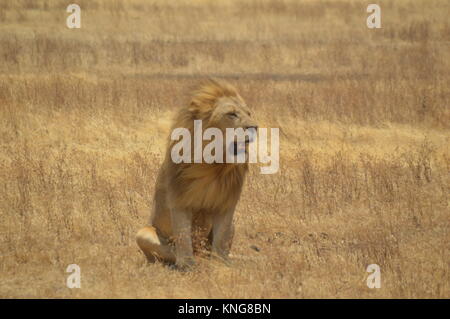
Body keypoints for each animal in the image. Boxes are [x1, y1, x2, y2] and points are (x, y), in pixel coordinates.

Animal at [135, 79, 256, 270]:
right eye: (231, 114)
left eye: (249, 113)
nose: (255, 128)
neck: (214, 164)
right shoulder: (179, 200)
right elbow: (183, 237)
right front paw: (188, 265)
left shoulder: (227, 203)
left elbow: (221, 240)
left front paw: (221, 264)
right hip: (143, 233)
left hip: (233, 224)